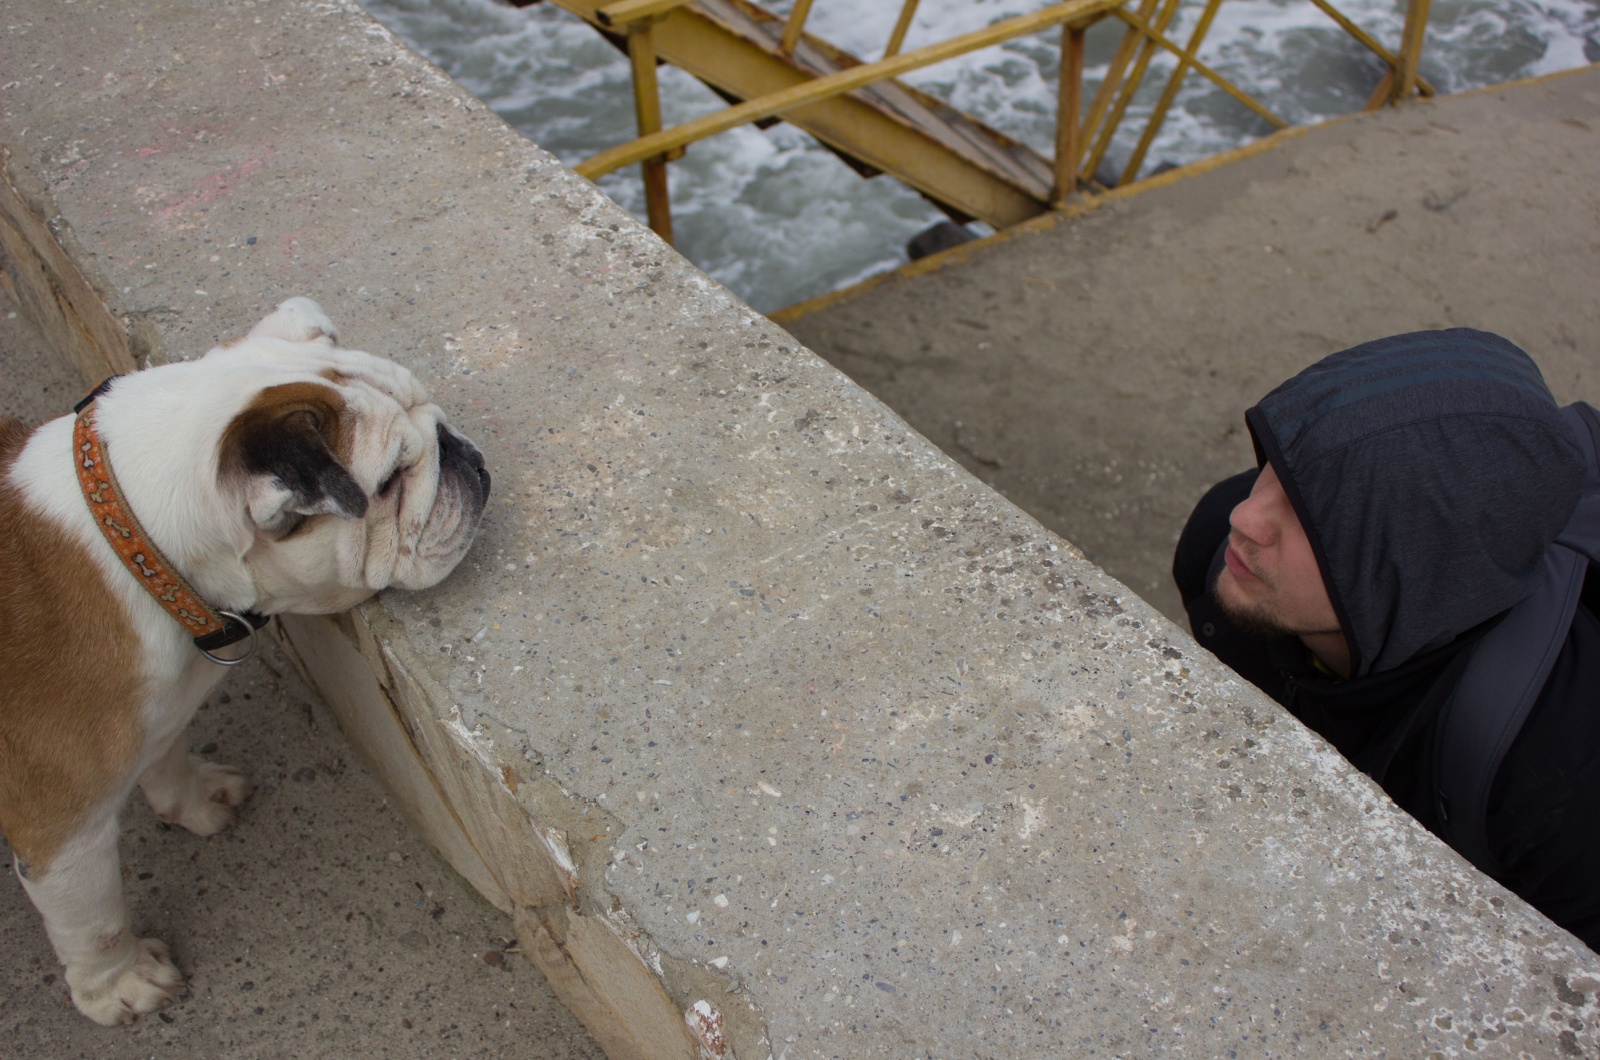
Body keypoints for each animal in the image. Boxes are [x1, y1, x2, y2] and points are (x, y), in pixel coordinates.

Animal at [0, 294, 486, 1024]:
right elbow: (95, 919)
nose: (460, 451)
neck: (137, 546)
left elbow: (168, 754)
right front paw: (117, 984)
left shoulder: (161, 713)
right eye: (392, 480)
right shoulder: (60, 833)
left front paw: (192, 798)